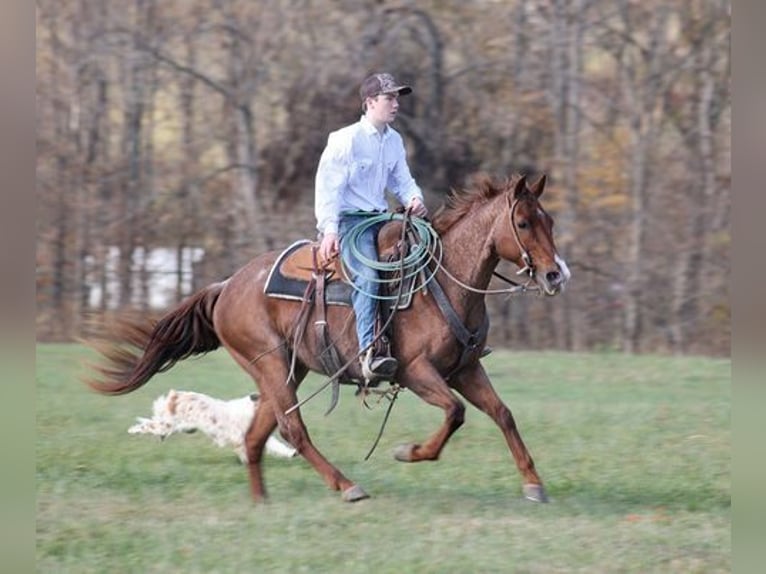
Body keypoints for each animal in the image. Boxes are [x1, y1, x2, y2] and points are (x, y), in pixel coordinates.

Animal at [127, 390, 298, 466]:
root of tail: (175, 396)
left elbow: (278, 446)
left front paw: (291, 453)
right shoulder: (240, 438)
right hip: (166, 426)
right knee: (147, 425)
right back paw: (132, 430)